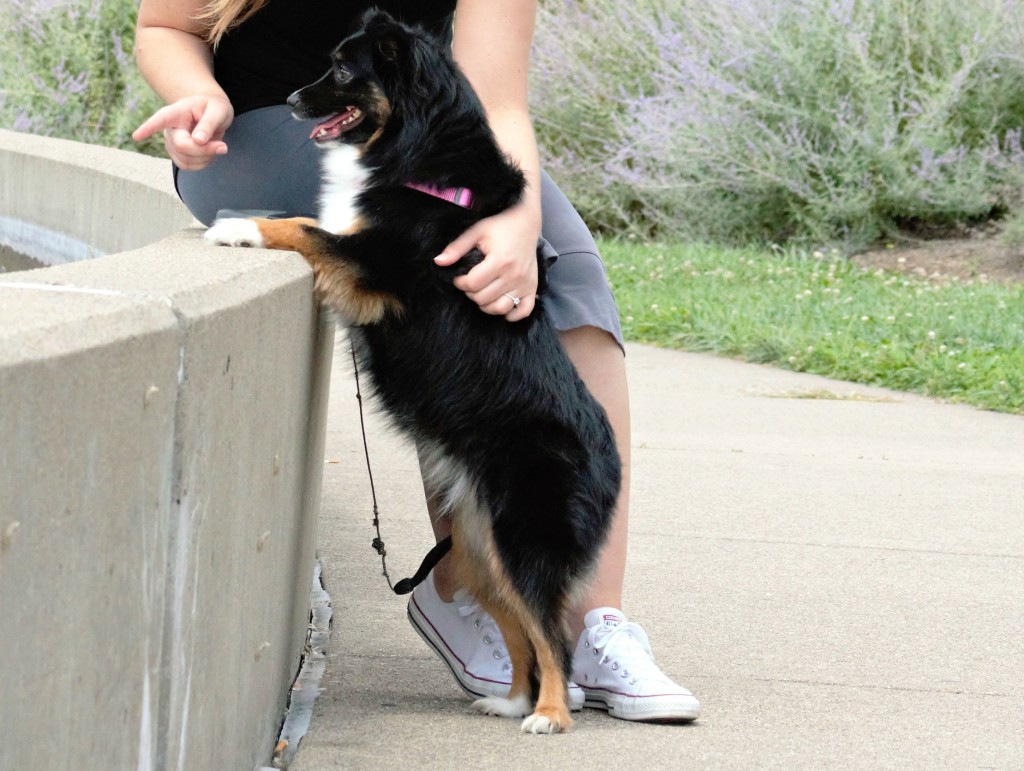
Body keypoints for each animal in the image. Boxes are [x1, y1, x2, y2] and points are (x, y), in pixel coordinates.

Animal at [200, 12, 614, 733]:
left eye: (343, 69)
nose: (292, 100)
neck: (417, 153)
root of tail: (610, 459)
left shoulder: (375, 265)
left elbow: (304, 227)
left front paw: (242, 231)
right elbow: (308, 221)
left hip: (525, 539)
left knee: (551, 633)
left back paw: (550, 715)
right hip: (480, 548)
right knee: (518, 628)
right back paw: (510, 699)